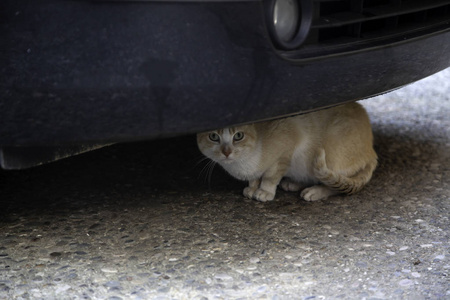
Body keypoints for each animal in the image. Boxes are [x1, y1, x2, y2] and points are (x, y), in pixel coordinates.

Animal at [197, 102, 376, 203]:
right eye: (214, 137)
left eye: (238, 136)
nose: (226, 152)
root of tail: (372, 151)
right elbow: (255, 179)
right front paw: (252, 187)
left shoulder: (287, 147)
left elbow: (270, 176)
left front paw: (264, 191)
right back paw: (295, 183)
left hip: (330, 150)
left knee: (334, 183)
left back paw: (315, 191)